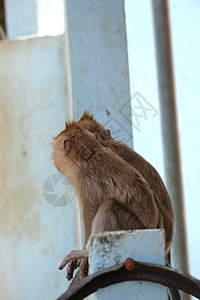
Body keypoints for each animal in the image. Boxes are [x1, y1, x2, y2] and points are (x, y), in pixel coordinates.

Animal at [52, 121, 159, 278]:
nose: (53, 157)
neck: (88, 154)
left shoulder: (84, 179)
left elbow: (90, 211)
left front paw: (84, 255)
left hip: (133, 226)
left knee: (110, 205)